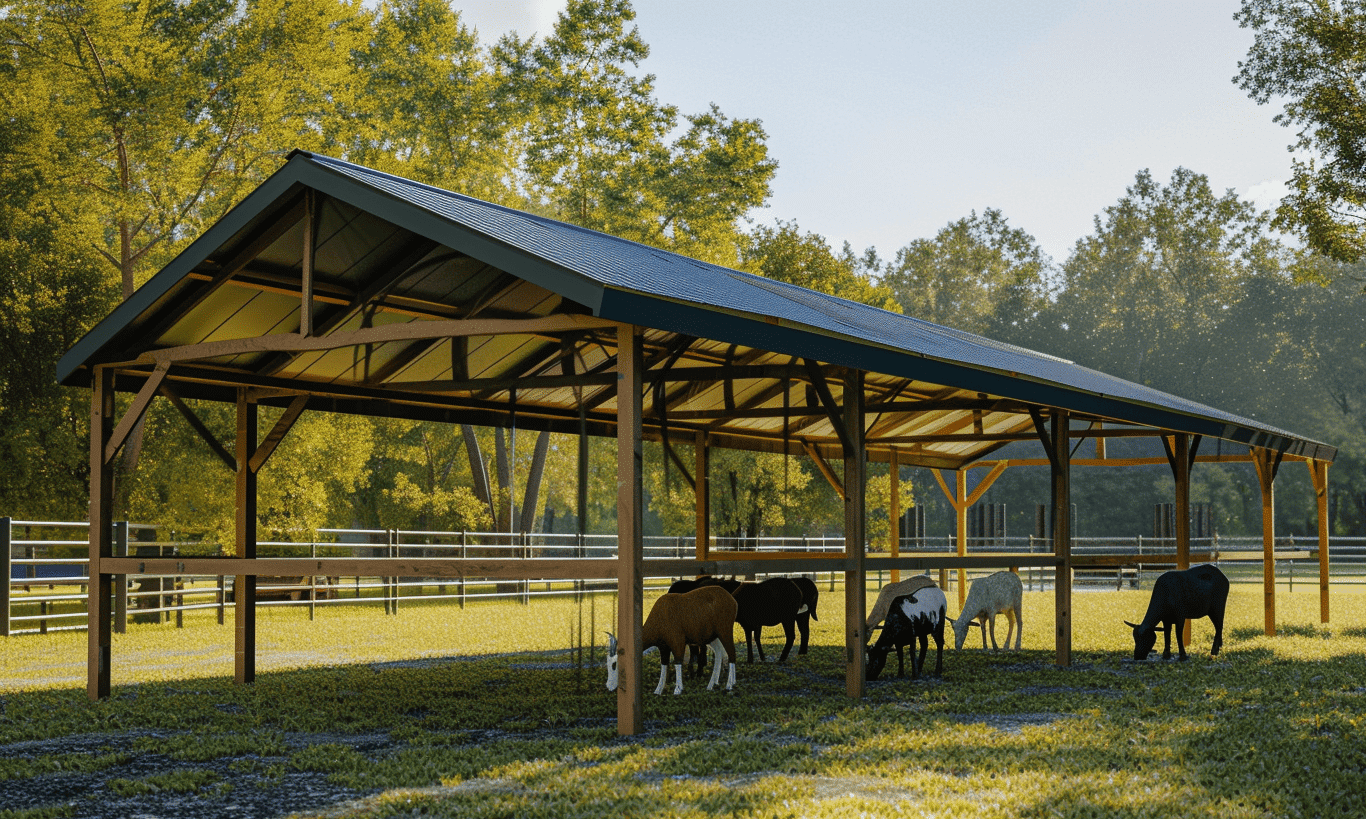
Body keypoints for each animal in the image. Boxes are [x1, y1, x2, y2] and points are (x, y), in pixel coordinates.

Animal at [606, 584, 737, 693]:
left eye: (614, 664)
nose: (609, 686)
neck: (661, 613)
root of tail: (732, 600)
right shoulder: (663, 647)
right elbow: (664, 664)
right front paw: (658, 690)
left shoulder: (677, 642)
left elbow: (677, 661)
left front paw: (678, 690)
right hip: (713, 637)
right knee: (719, 653)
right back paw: (711, 685)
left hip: (724, 631)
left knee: (731, 653)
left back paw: (729, 685)